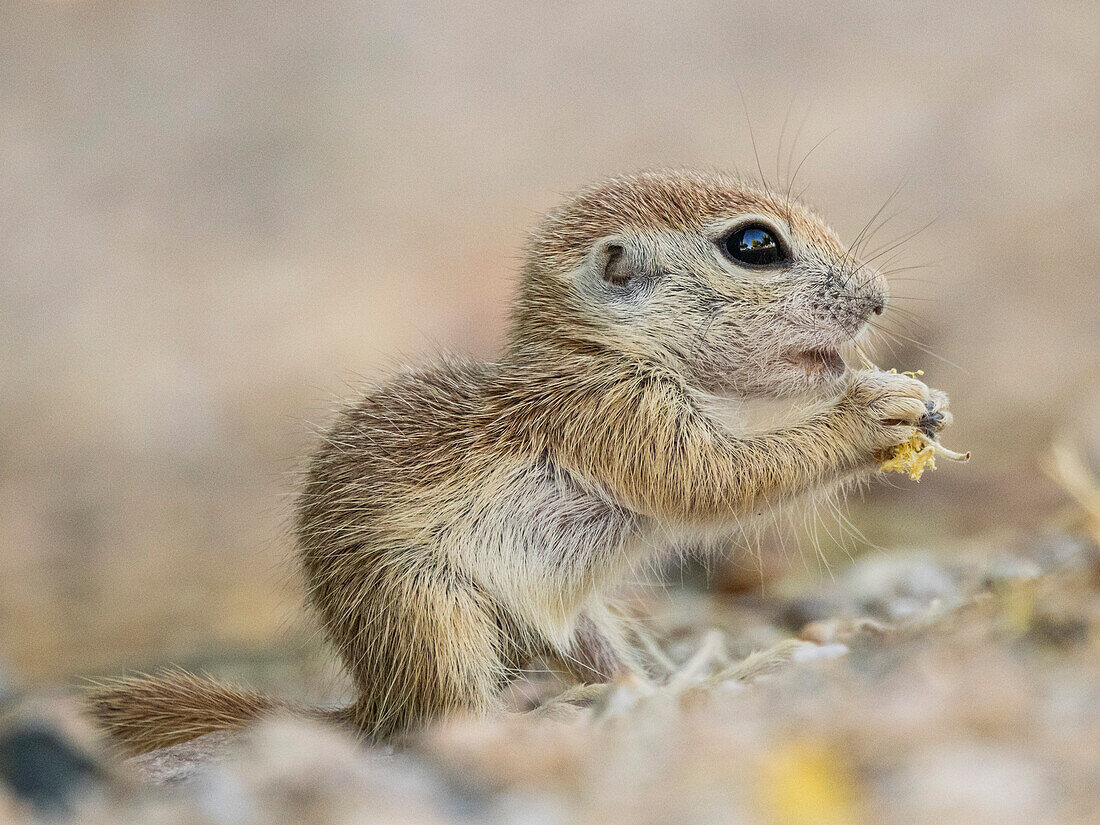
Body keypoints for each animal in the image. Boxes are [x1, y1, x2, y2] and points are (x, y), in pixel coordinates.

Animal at [90, 171, 954, 752]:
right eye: (755, 245)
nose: (879, 296)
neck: (607, 353)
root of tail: (370, 699)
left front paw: (918, 400)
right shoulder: (613, 417)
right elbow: (715, 481)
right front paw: (873, 413)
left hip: (570, 620)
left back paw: (671, 684)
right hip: (429, 612)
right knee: (440, 722)